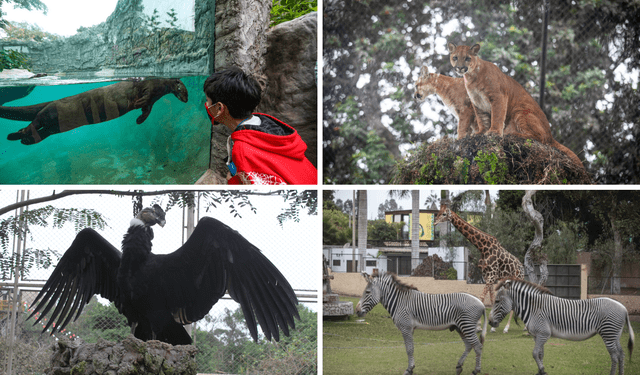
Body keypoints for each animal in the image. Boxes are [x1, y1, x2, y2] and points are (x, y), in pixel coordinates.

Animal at [2, 77, 189, 144]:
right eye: (184, 91)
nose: (187, 99)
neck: (162, 86)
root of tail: (53, 101)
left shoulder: (152, 100)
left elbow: (147, 109)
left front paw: (139, 119)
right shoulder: (149, 86)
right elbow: (144, 97)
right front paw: (136, 104)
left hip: (56, 126)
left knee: (43, 131)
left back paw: (21, 138)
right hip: (51, 112)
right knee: (36, 121)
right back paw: (21, 133)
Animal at [356, 274, 484, 375]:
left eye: (367, 292)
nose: (357, 311)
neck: (400, 301)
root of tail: (481, 302)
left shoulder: (406, 328)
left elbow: (409, 349)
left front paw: (409, 370)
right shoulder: (410, 329)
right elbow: (410, 348)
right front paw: (411, 368)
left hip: (467, 326)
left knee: (477, 346)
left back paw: (476, 370)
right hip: (460, 327)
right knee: (469, 345)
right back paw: (459, 366)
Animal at [432, 201, 524, 334]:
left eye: (444, 214)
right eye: (438, 212)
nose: (434, 222)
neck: (482, 247)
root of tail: (522, 268)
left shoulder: (491, 276)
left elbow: (481, 298)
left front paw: (480, 326)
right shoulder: (487, 276)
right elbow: (491, 299)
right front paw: (489, 326)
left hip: (517, 279)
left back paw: (508, 328)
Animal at [490, 280, 636, 375]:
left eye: (497, 301)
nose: (491, 323)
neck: (533, 308)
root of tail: (624, 308)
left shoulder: (543, 333)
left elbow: (534, 353)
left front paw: (542, 370)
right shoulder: (538, 335)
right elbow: (540, 354)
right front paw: (540, 371)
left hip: (608, 334)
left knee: (615, 356)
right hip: (614, 335)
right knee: (621, 354)